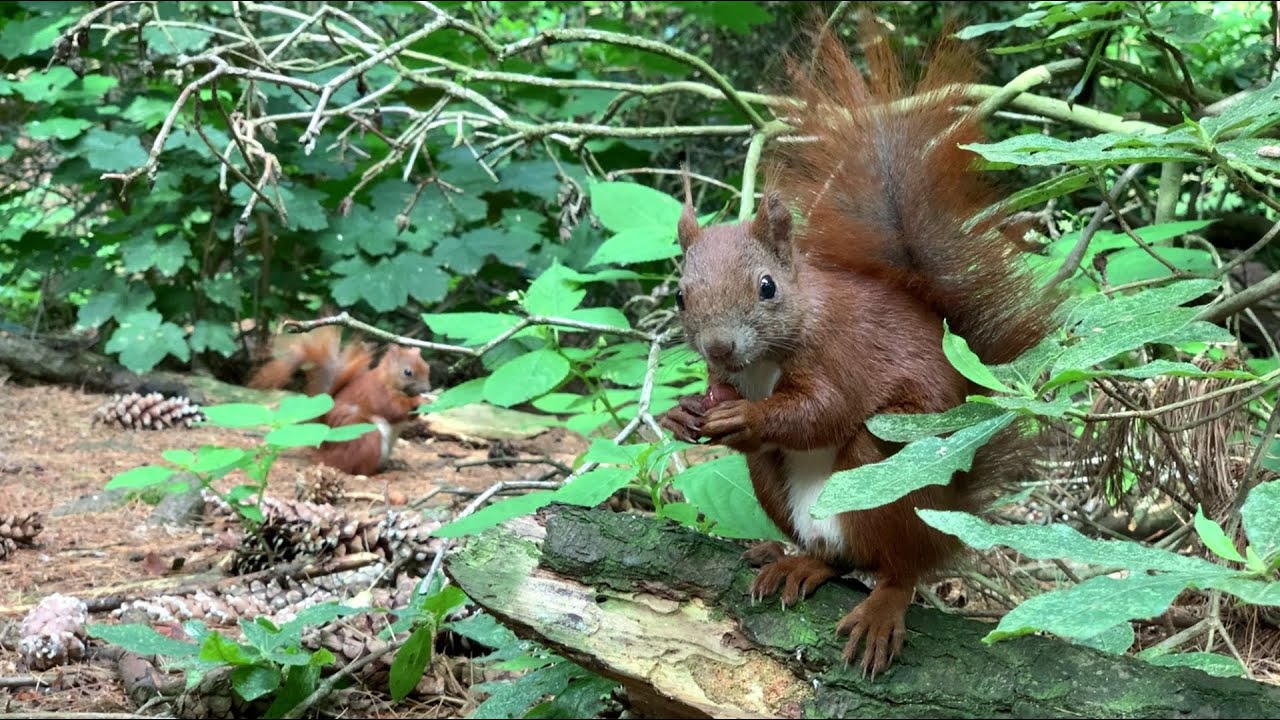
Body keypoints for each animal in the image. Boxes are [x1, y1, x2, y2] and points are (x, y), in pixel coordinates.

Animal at [248, 325, 432, 476]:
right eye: (407, 372)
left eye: (427, 367)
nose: (427, 389)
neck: (387, 379)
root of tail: (327, 453)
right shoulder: (377, 393)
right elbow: (393, 408)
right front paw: (418, 401)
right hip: (365, 436)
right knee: (357, 468)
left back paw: (394, 463)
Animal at [659, 24, 1061, 676]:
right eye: (679, 296)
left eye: (767, 287)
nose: (719, 348)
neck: (766, 362)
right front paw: (682, 413)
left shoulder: (841, 352)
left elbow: (823, 410)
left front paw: (746, 417)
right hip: (776, 487)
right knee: (837, 557)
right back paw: (797, 562)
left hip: (886, 471)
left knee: (899, 569)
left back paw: (881, 609)